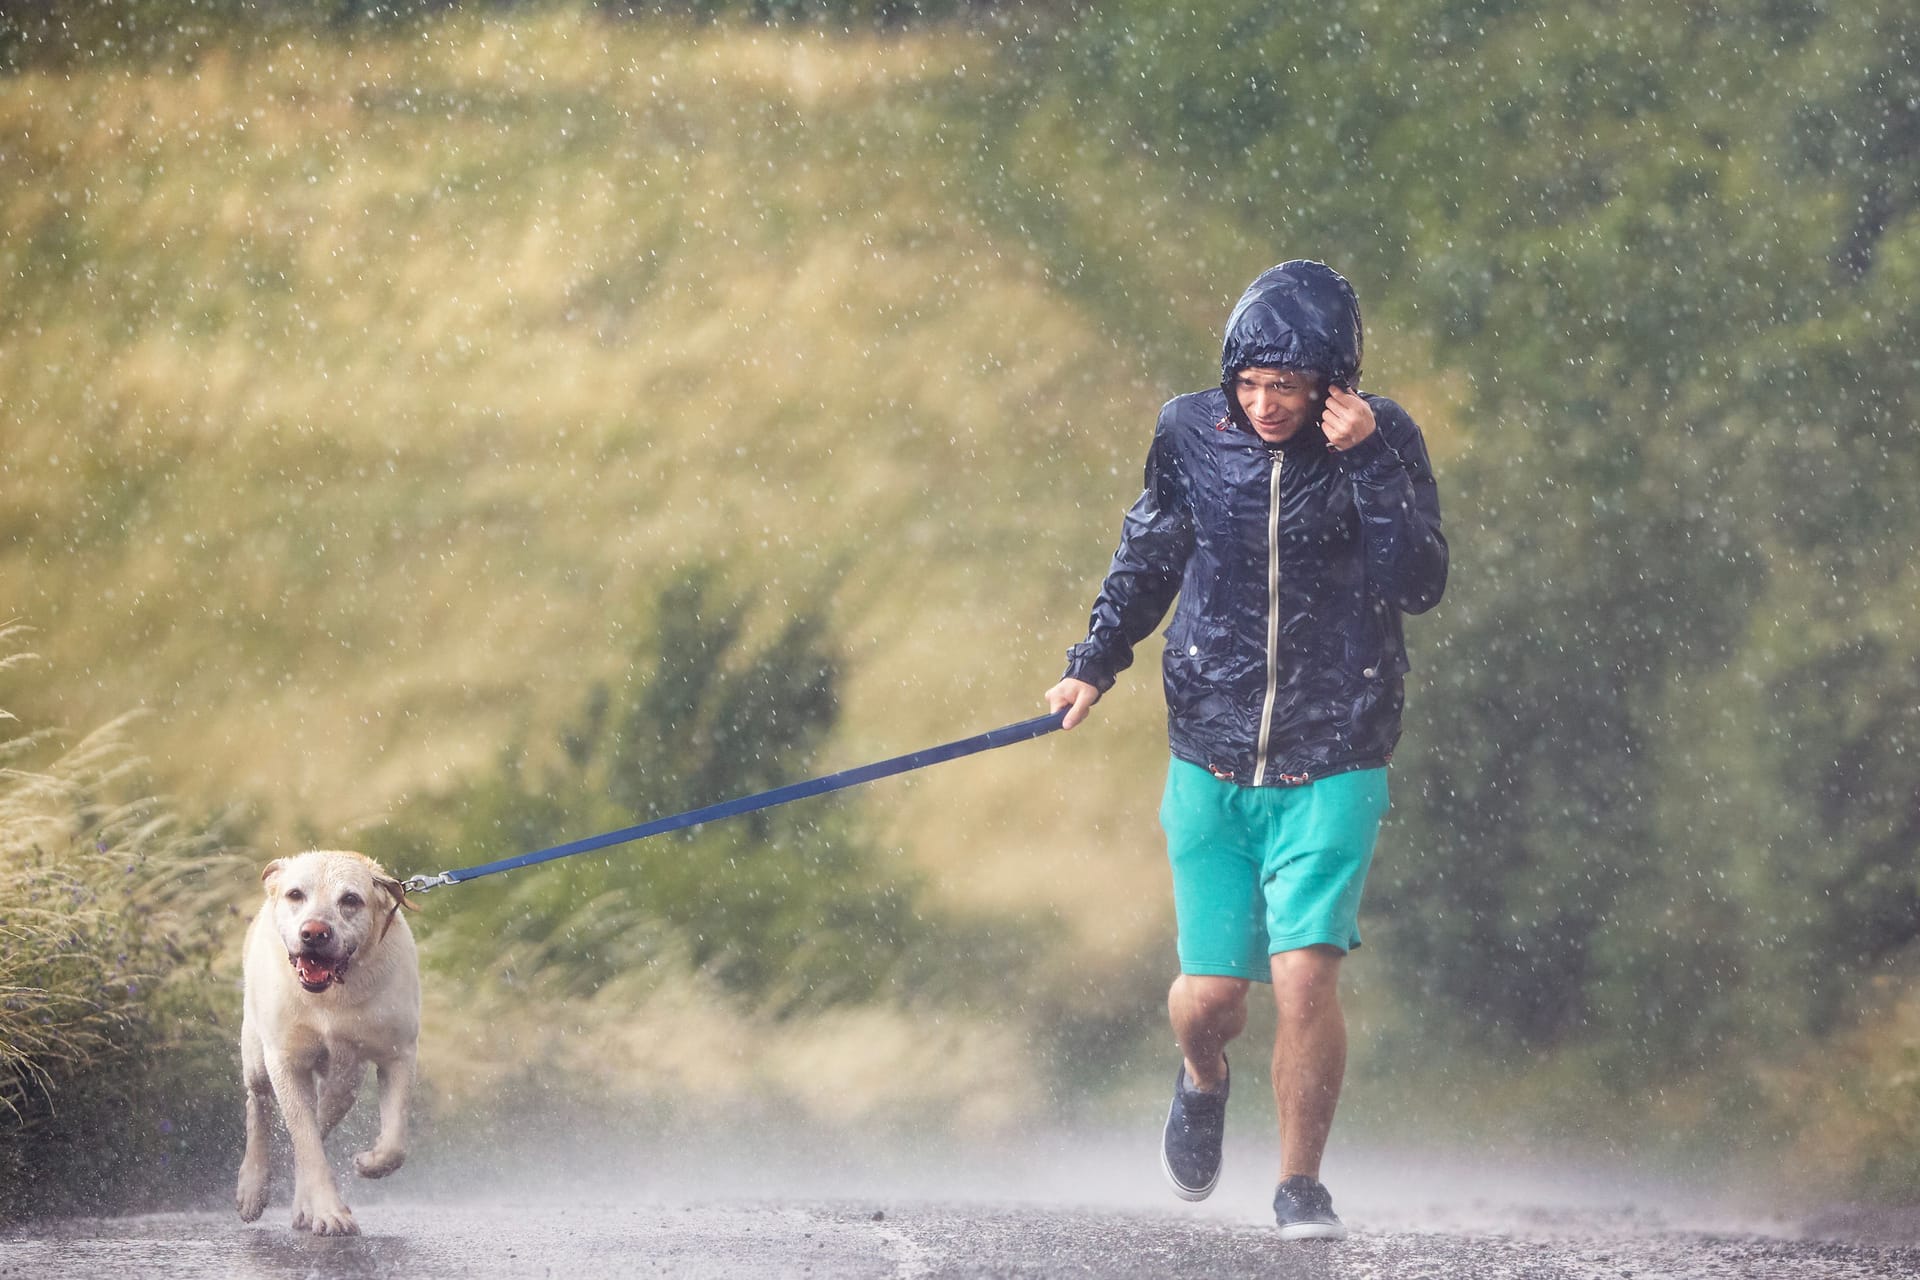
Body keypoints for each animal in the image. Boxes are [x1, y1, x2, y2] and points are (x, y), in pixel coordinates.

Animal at [235, 855, 420, 1235]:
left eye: (350, 899)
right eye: (295, 894)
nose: (314, 933)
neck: (331, 997)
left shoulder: (399, 1054)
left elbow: (395, 1141)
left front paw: (371, 1163)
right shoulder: (285, 1061)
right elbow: (306, 1142)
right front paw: (330, 1212)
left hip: (345, 1084)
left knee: (323, 1115)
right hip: (257, 1058)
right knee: (259, 1104)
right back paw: (252, 1188)